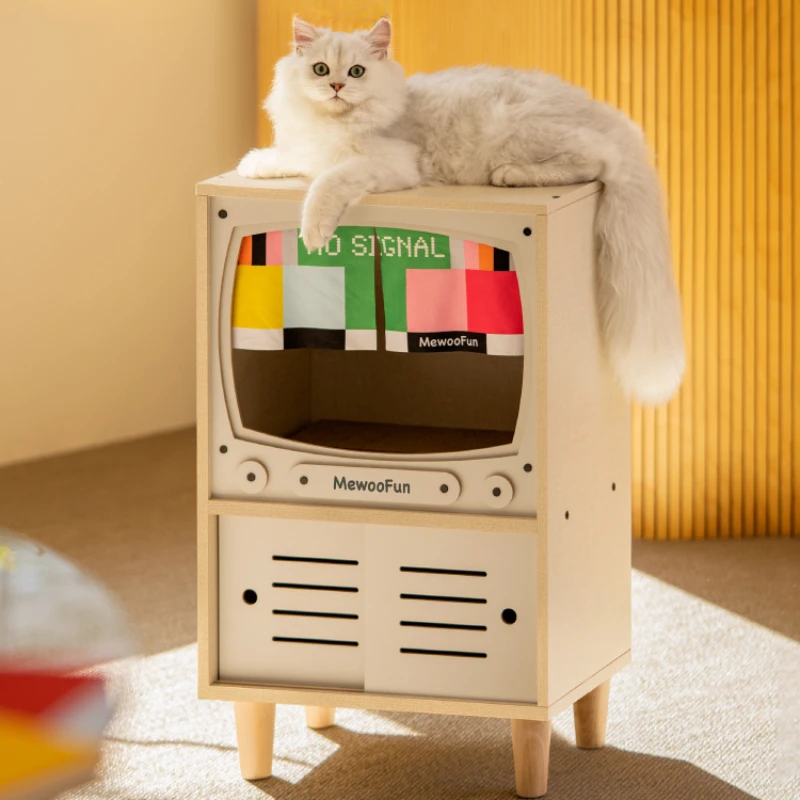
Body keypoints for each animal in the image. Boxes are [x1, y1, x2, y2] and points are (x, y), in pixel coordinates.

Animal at [236, 17, 680, 406]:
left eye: (357, 71)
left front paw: (313, 232)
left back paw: (510, 176)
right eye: (321, 69)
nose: (336, 85)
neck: (336, 124)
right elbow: (290, 158)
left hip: (521, 131)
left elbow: (326, 185)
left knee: (597, 162)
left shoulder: (390, 163)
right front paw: (252, 166)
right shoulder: (310, 151)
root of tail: (611, 119)